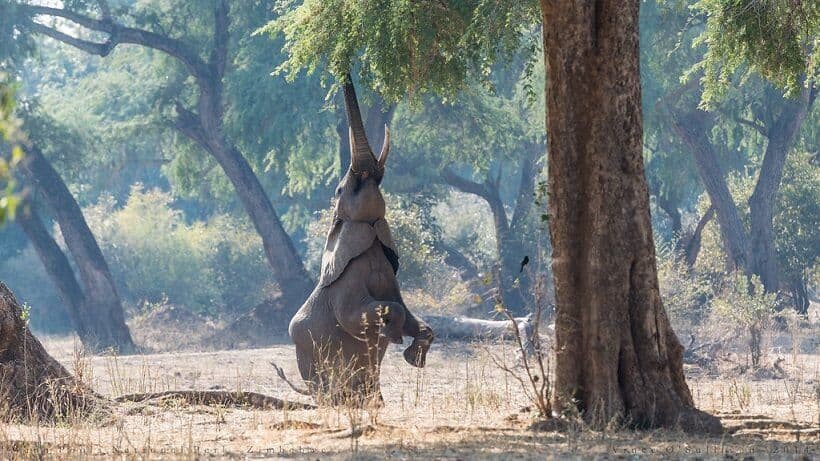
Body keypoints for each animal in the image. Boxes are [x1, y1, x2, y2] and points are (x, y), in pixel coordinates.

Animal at [288, 79, 434, 406]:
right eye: (340, 189)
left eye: (379, 183)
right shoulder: (345, 288)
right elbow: (358, 317)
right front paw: (391, 335)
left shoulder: (391, 277)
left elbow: (411, 314)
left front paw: (412, 353)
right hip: (309, 360)